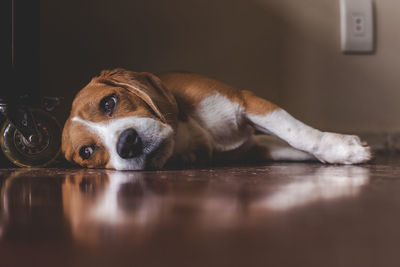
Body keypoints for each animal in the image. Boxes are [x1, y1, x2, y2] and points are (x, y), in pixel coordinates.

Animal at [61, 68, 372, 170]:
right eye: (86, 152)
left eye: (109, 102)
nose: (126, 144)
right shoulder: (256, 148)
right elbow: (294, 147)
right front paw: (340, 153)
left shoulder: (247, 102)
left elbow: (297, 134)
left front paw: (340, 148)